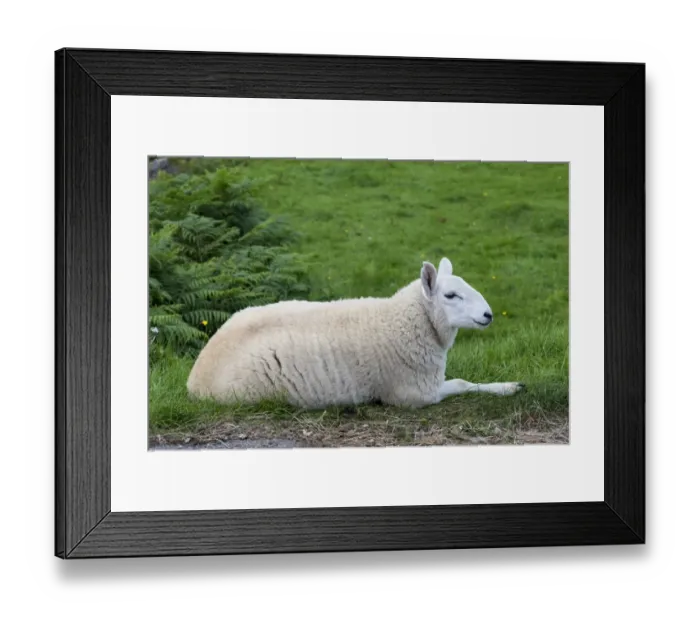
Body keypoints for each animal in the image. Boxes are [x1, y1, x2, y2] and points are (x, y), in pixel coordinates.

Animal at [186, 257, 524, 409]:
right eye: (451, 296)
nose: (488, 315)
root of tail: (194, 377)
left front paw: (511, 385)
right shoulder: (412, 394)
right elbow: (462, 383)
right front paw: (507, 388)